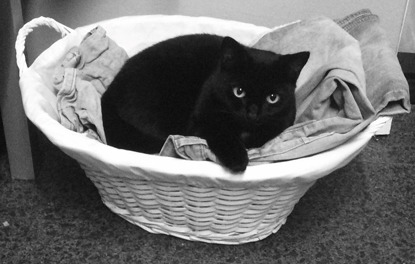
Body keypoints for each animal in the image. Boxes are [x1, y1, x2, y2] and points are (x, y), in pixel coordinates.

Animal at [101, 33, 308, 173]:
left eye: (273, 97)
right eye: (239, 92)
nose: (252, 112)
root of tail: (108, 93)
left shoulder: (281, 122)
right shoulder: (199, 122)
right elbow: (220, 132)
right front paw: (238, 159)